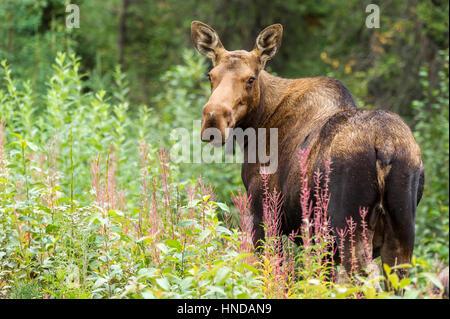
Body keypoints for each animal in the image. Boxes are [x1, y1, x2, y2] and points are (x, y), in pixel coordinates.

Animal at [192, 20, 424, 282]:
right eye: (211, 75)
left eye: (251, 78)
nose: (214, 119)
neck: (258, 123)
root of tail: (385, 146)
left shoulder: (265, 214)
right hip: (401, 233)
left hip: (349, 228)